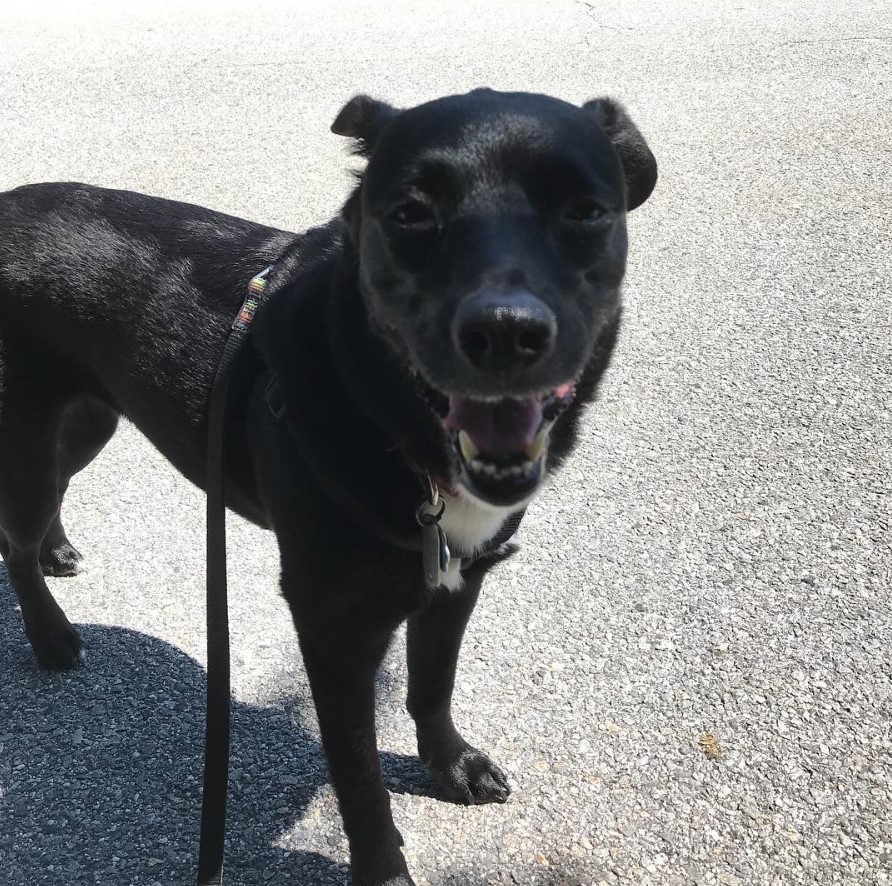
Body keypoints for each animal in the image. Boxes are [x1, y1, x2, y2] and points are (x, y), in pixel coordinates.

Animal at [0, 92, 656, 886]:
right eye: (410, 214)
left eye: (587, 212)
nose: (505, 333)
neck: (393, 424)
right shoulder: (333, 627)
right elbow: (359, 780)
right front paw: (384, 869)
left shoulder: (456, 581)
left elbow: (431, 687)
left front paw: (452, 765)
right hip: (27, 435)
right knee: (14, 540)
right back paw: (49, 633)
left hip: (89, 417)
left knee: (51, 497)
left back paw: (60, 550)